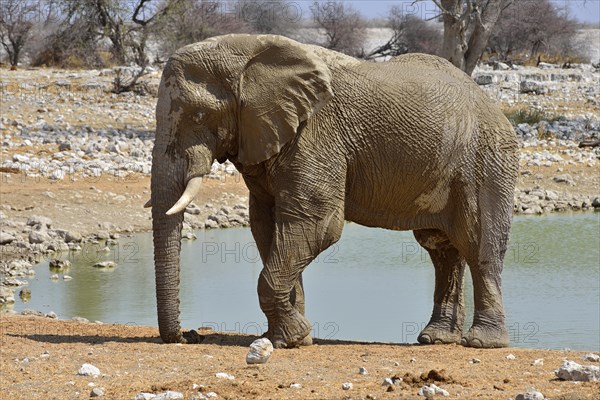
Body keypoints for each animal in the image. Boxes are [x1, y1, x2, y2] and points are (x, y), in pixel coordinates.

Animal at [148, 33, 516, 346]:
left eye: (198, 115)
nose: (189, 335)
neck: (250, 49)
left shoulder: (315, 133)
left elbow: (316, 223)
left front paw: (290, 338)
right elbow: (267, 226)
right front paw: (293, 338)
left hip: (485, 159)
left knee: (477, 244)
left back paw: (482, 342)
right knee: (441, 248)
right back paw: (436, 338)